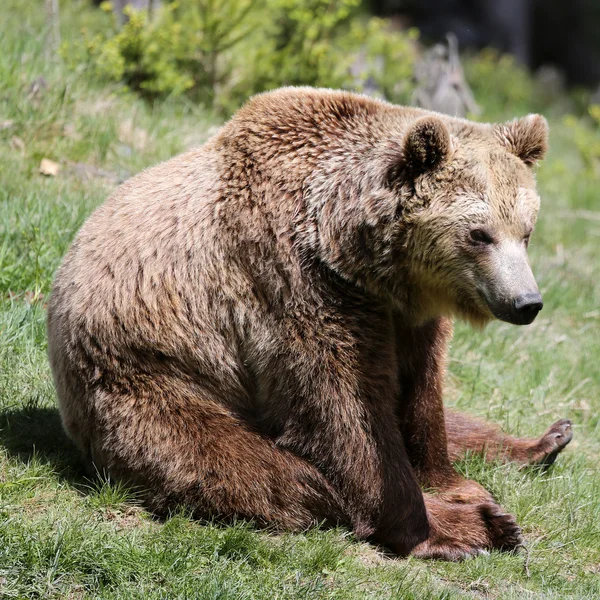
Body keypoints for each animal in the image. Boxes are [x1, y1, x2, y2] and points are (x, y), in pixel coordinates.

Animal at [47, 86, 572, 560]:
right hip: (152, 382)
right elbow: (343, 415)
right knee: (263, 473)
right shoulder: (298, 282)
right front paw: (456, 525)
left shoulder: (405, 314)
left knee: (460, 423)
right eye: (480, 234)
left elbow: (423, 395)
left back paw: (546, 440)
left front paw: (458, 485)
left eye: (526, 232)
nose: (526, 302)